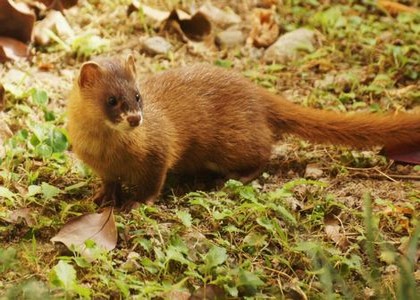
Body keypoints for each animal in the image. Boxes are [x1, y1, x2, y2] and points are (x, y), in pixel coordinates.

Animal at [67, 54, 420, 209]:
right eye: (112, 100)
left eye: (138, 95)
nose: (136, 119)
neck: (108, 152)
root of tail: (256, 91)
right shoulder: (101, 166)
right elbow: (109, 182)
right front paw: (102, 196)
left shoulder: (158, 153)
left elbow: (153, 183)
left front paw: (136, 203)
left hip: (231, 143)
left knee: (264, 152)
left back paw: (229, 180)